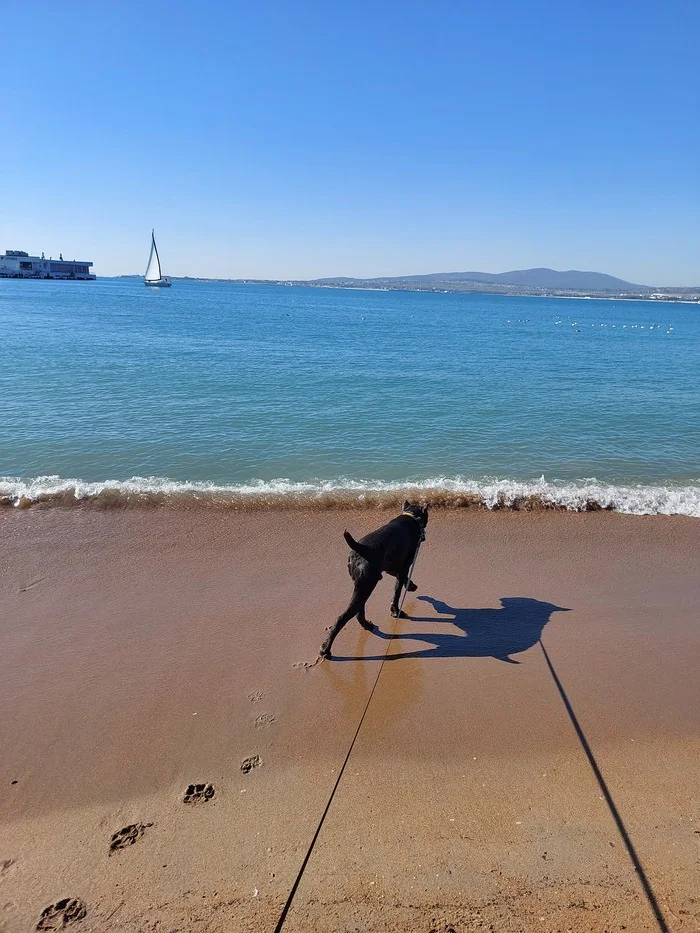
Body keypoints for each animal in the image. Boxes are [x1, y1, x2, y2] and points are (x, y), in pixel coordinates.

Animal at [320, 502, 430, 656]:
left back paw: (366, 625)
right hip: (366, 586)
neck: (411, 517)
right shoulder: (404, 566)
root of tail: (361, 549)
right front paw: (396, 611)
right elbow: (397, 591)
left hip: (363, 586)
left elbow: (401, 581)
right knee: (342, 618)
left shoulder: (391, 568)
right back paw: (326, 649)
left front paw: (411, 586)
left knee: (359, 612)